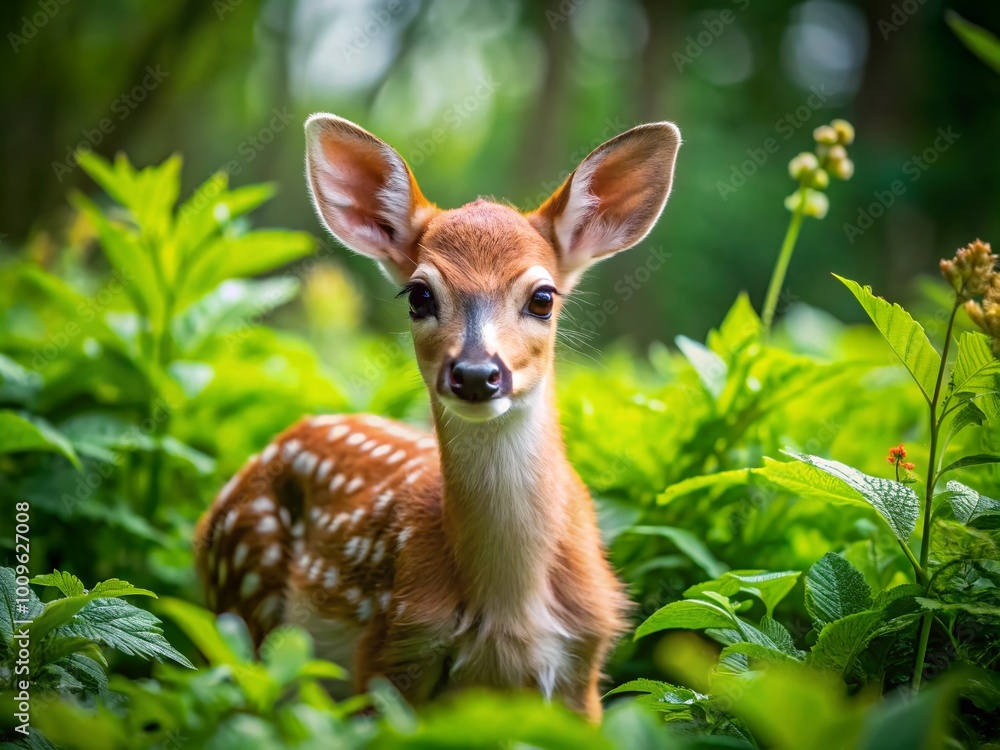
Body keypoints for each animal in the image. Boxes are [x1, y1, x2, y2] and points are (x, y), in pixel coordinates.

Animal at [194, 113, 681, 720]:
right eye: (419, 295)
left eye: (543, 297)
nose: (475, 373)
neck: (508, 607)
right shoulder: (389, 655)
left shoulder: (584, 670)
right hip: (243, 602)